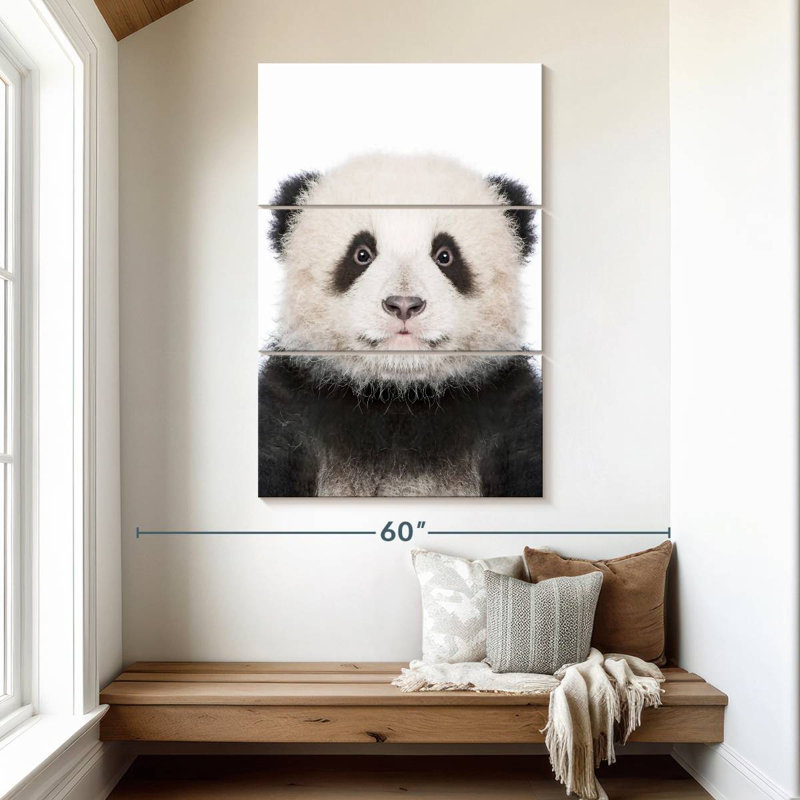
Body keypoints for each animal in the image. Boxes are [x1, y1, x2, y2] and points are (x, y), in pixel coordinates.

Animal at [259, 154, 542, 497]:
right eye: (361, 254)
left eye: (445, 255)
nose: (404, 304)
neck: (400, 397)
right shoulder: (290, 409)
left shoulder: (509, 411)